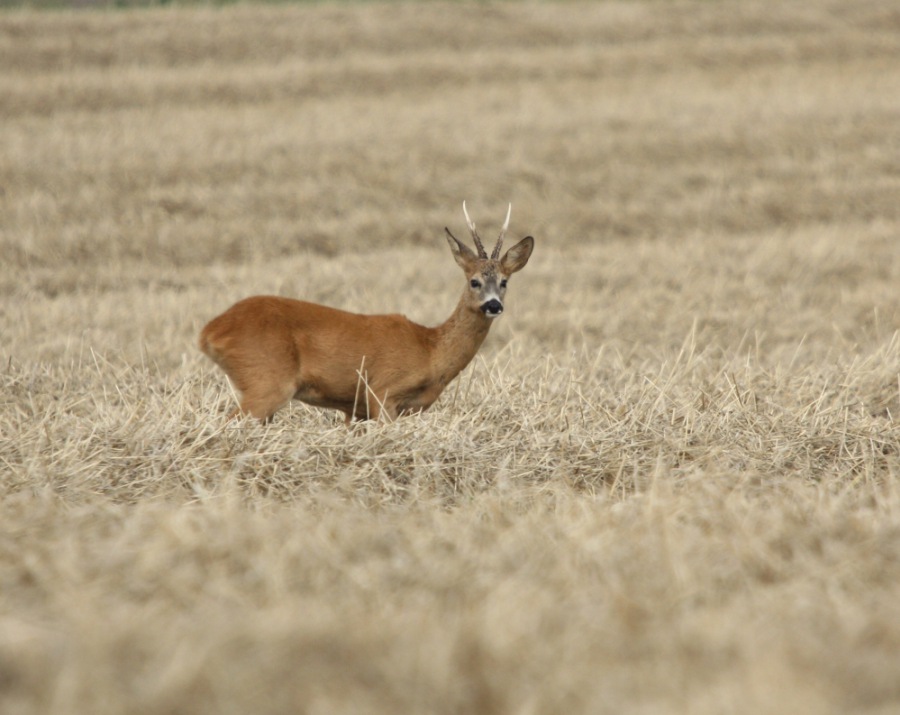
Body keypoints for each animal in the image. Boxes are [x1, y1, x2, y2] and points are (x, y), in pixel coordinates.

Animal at [199, 202, 535, 424]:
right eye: (474, 281)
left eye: (504, 282)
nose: (493, 305)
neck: (431, 351)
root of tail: (210, 331)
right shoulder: (382, 391)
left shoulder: (357, 410)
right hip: (267, 378)